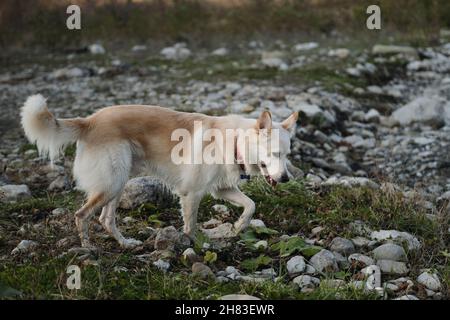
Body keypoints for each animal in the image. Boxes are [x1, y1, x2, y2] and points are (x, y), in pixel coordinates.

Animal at [20, 94, 298, 249]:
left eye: (287, 155)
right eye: (275, 154)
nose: (285, 179)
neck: (235, 141)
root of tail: (89, 121)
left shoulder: (222, 189)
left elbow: (250, 205)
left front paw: (239, 226)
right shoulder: (192, 193)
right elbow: (191, 226)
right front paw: (192, 246)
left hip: (118, 183)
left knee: (105, 219)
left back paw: (125, 244)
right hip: (111, 183)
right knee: (82, 215)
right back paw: (88, 249)